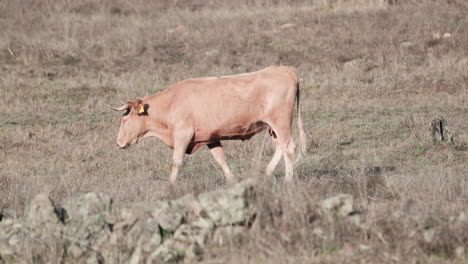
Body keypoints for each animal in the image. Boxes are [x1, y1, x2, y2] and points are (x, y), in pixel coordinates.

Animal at [109, 66, 308, 184]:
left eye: (124, 121)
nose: (118, 143)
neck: (171, 102)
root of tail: (285, 70)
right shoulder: (211, 138)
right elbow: (222, 160)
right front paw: (232, 181)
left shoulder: (183, 134)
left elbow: (176, 161)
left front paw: (171, 184)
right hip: (272, 127)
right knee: (280, 147)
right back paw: (267, 172)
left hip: (281, 122)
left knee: (289, 148)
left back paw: (288, 180)